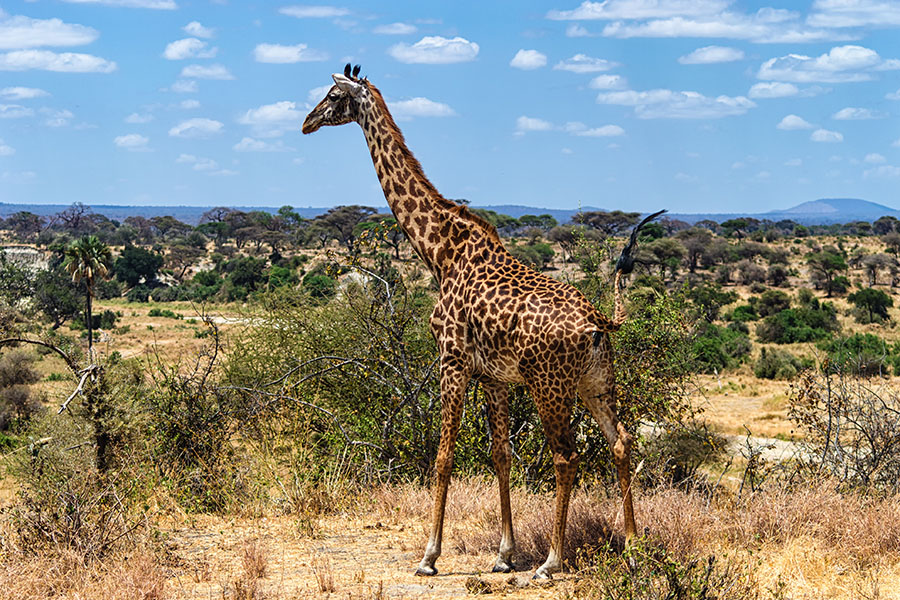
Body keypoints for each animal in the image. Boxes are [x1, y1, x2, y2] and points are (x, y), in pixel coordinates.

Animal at [302, 63, 660, 580]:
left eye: (332, 95)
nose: (305, 122)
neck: (439, 252)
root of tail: (597, 322)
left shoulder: (452, 360)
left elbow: (444, 455)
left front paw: (429, 556)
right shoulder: (494, 376)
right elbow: (500, 455)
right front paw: (504, 554)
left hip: (550, 385)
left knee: (566, 457)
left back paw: (551, 561)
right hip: (597, 381)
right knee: (621, 443)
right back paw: (633, 550)